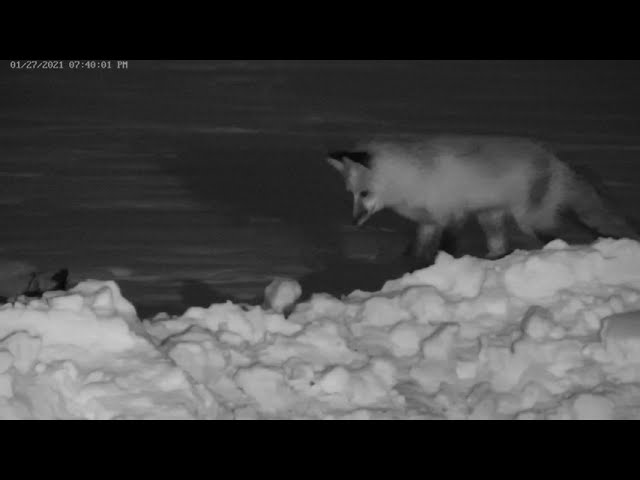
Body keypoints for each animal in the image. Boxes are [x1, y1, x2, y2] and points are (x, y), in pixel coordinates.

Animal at [326, 135, 639, 262]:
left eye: (365, 194)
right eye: (351, 195)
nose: (354, 222)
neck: (412, 178)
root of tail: (555, 160)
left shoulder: (451, 216)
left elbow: (447, 248)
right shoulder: (428, 223)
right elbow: (415, 252)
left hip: (529, 221)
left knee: (562, 238)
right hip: (491, 218)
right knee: (501, 247)